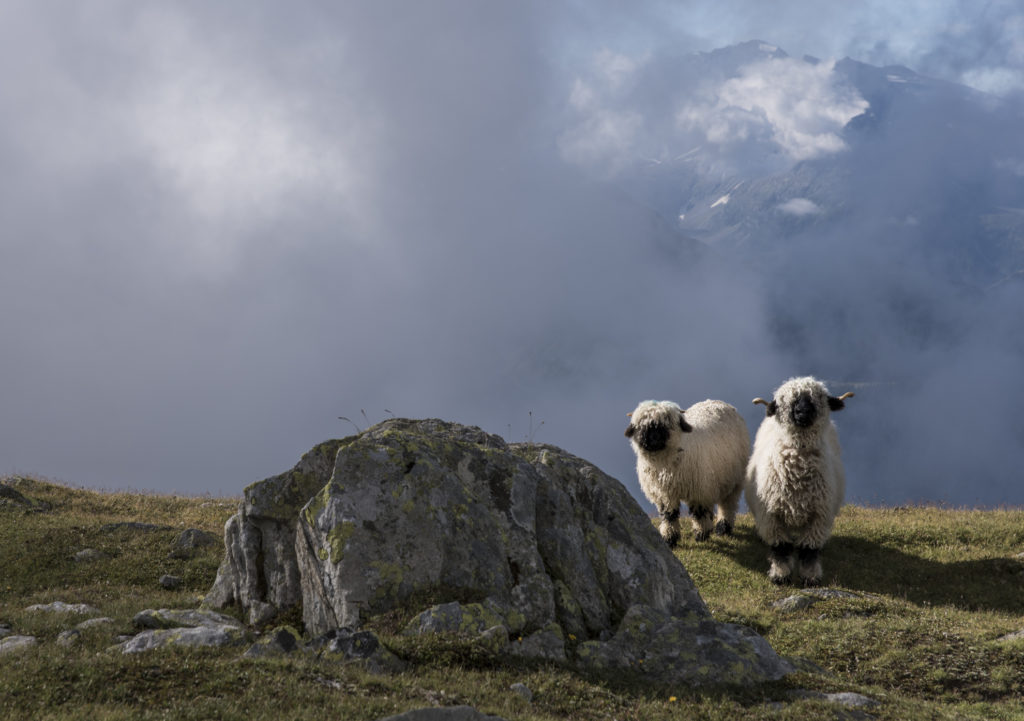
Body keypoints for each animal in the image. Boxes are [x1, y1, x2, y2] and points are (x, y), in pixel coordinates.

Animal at [625, 399, 750, 546]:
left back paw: (723, 528)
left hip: (734, 479)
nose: (654, 438)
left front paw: (701, 534)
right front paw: (669, 538)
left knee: (728, 504)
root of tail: (720, 402)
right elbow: (669, 515)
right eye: (641, 425)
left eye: (668, 422)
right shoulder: (664, 494)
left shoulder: (699, 492)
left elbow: (699, 514)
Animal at [744, 376, 854, 586]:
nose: (802, 412)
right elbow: (781, 547)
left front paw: (810, 577)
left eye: (819, 397)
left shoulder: (819, 517)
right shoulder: (771, 516)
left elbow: (809, 550)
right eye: (783, 400)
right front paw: (780, 575)